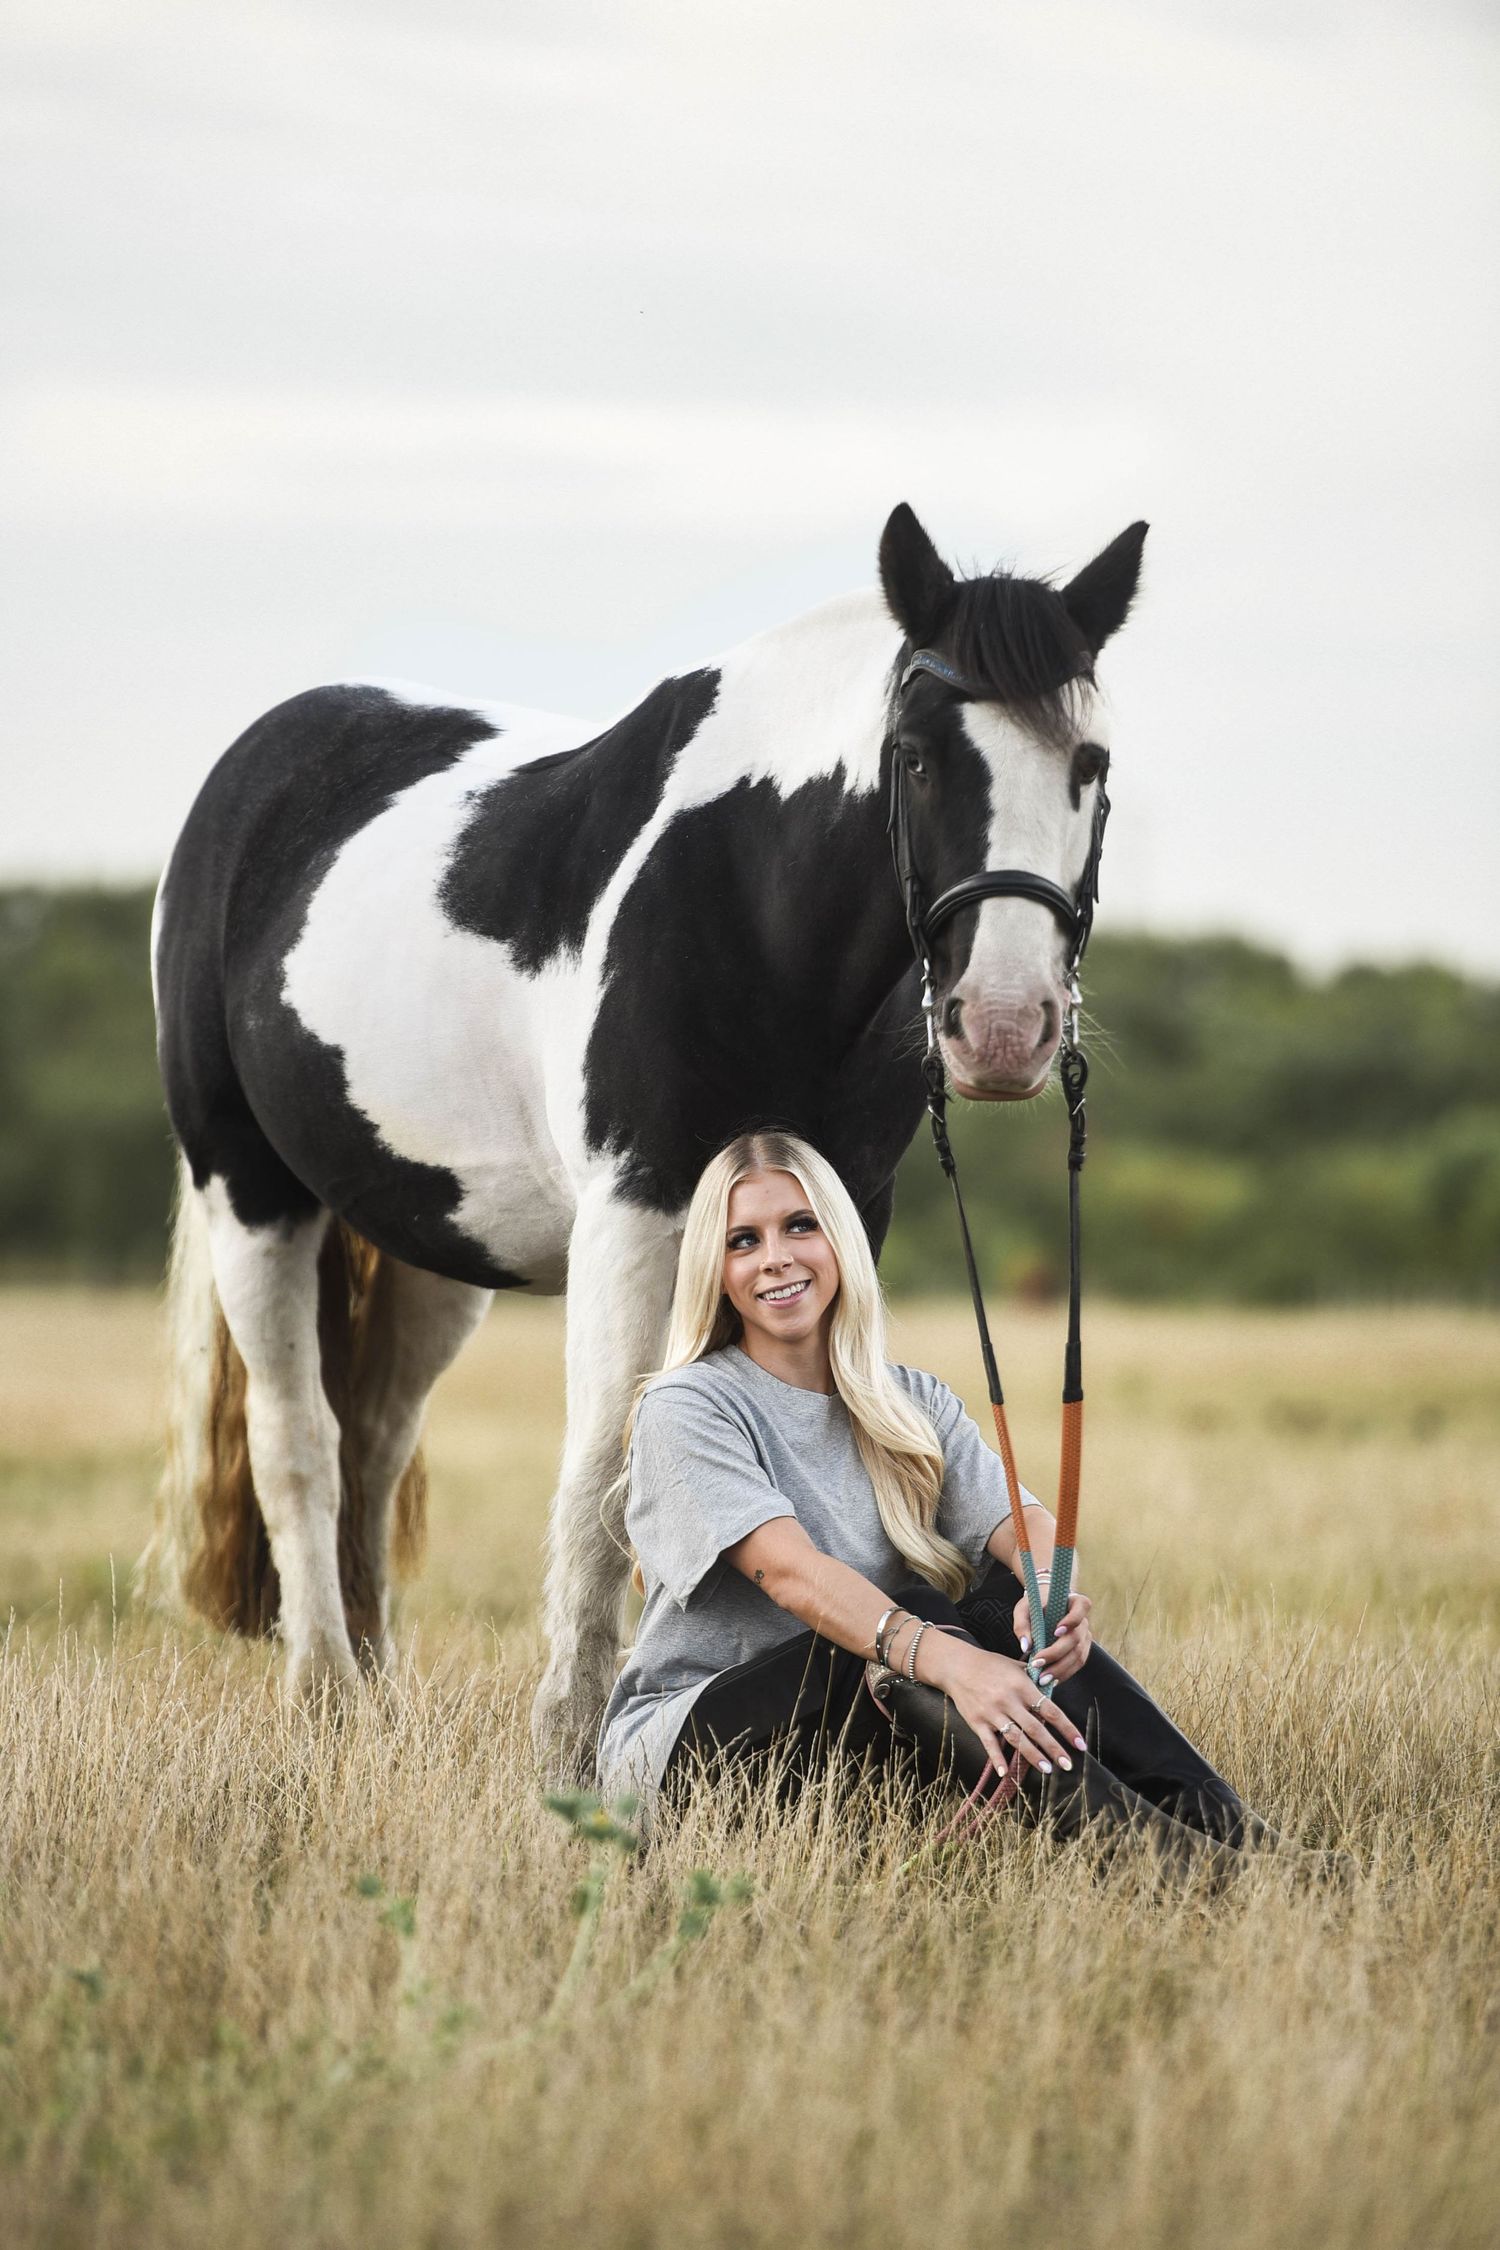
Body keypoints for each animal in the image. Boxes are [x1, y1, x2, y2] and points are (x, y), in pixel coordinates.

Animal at [142, 500, 1146, 1776]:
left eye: (1091, 763)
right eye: (917, 756)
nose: (1006, 1029)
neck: (751, 893)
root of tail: (255, 770)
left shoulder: (845, 1204)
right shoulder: (635, 1210)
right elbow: (604, 1480)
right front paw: (572, 1747)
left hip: (431, 1249)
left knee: (371, 1443)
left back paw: (375, 1691)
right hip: (252, 1193)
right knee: (298, 1442)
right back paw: (321, 1692)